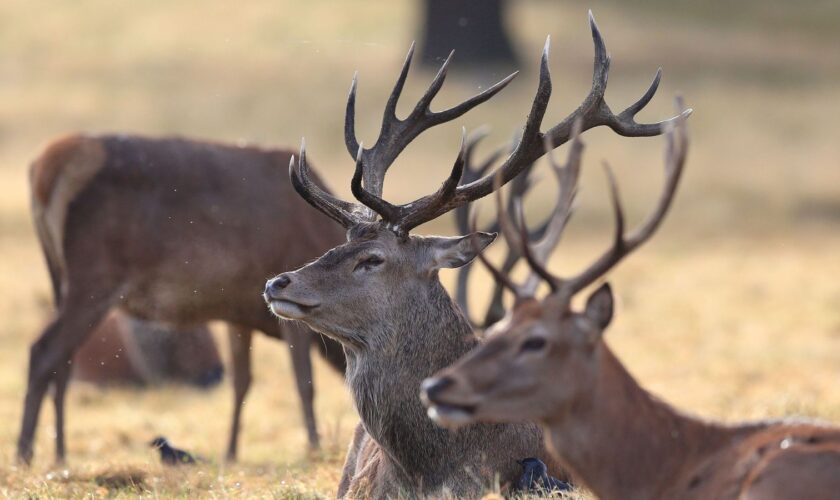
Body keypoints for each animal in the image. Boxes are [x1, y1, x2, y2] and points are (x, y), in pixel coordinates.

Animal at [20, 134, 348, 464]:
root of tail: (44, 169)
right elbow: (304, 382)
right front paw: (315, 447)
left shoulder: (240, 312)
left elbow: (241, 383)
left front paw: (230, 453)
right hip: (94, 274)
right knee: (43, 350)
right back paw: (24, 452)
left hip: (60, 279)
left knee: (63, 361)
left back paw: (60, 454)